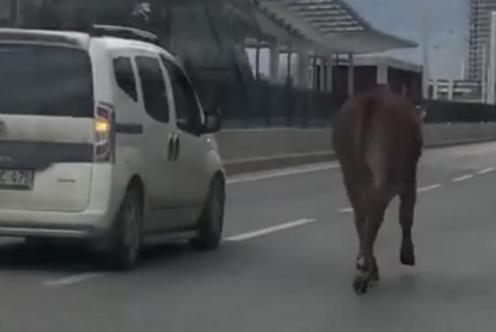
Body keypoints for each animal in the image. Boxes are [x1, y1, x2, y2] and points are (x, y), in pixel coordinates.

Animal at [334, 87, 422, 294]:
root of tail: (371, 100)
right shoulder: (409, 179)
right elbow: (406, 215)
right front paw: (408, 255)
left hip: (351, 171)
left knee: (361, 217)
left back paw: (364, 269)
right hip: (384, 174)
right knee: (374, 215)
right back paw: (365, 272)